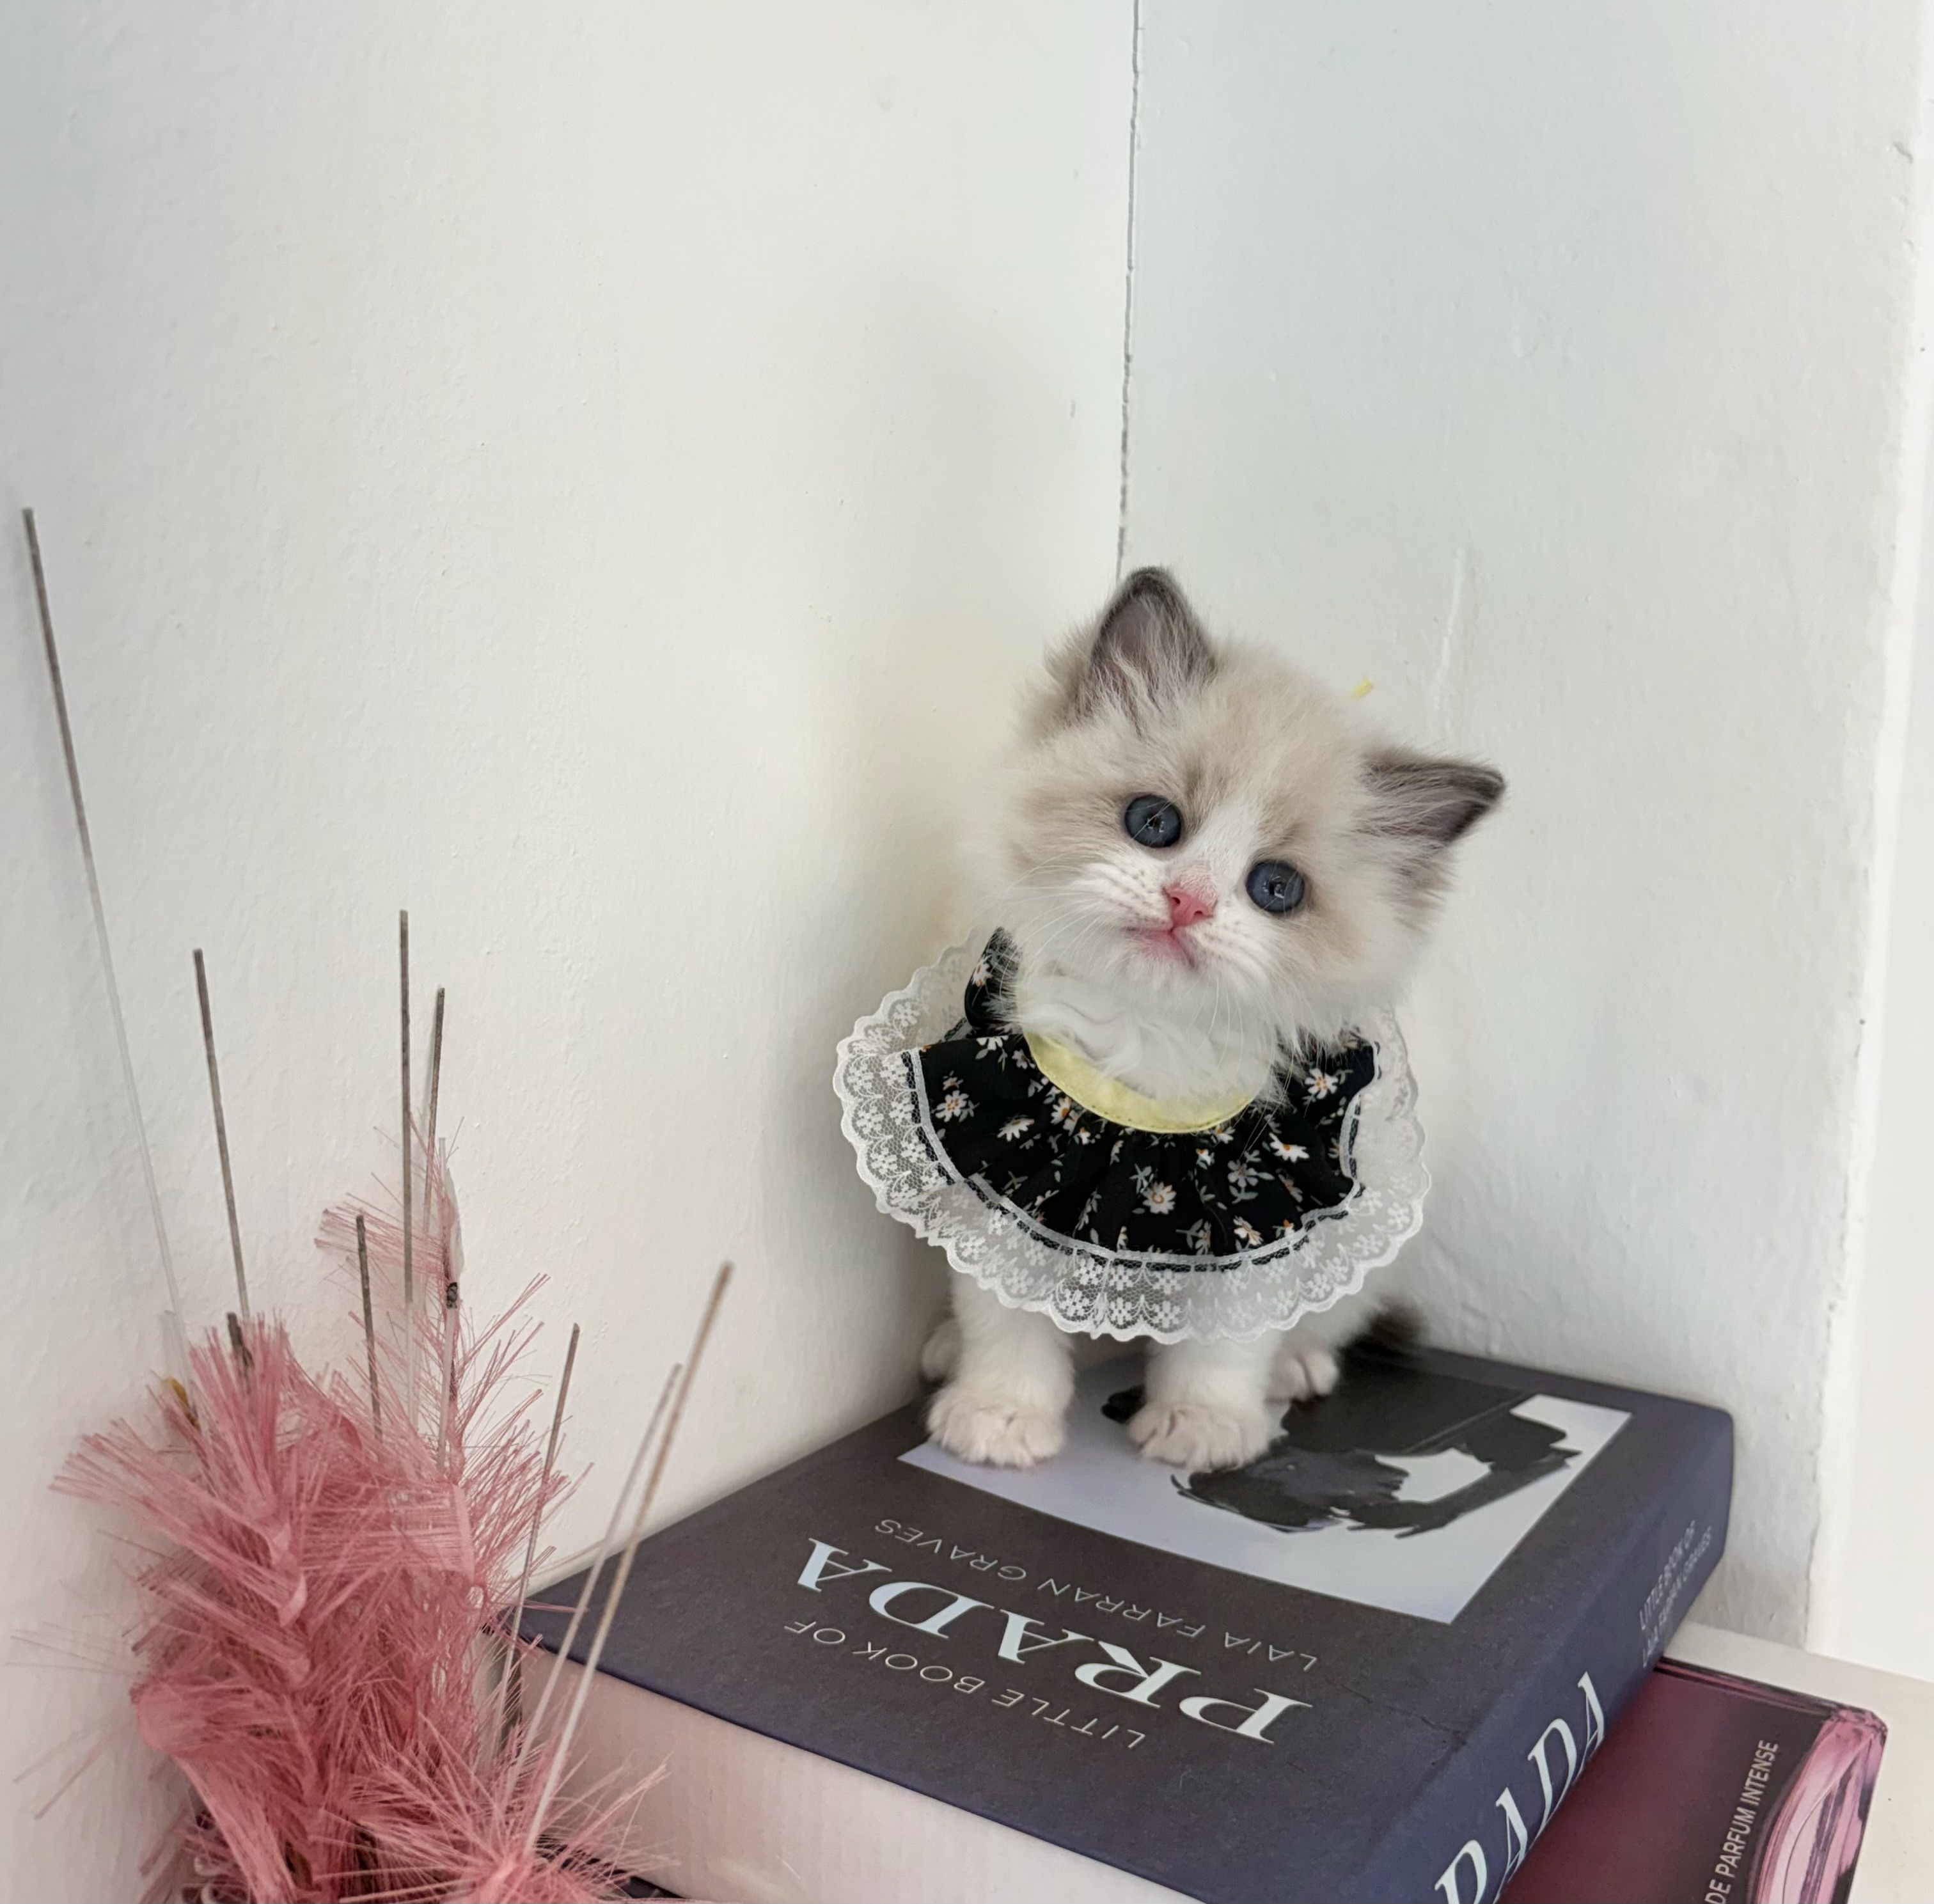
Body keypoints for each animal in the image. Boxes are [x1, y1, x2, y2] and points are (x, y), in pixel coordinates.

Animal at [921, 567, 1503, 1472]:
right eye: (1155, 823)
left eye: (1276, 889)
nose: (1188, 902)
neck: (1146, 1043)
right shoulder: (1006, 1177)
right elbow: (1007, 1320)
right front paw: (1000, 1415)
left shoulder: (1263, 1219)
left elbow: (1225, 1343)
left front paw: (1203, 1429)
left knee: (1323, 1325)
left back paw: (1296, 1372)